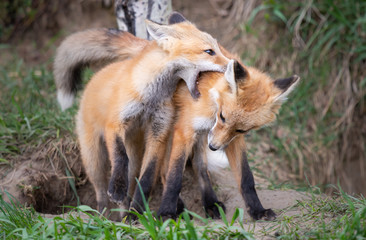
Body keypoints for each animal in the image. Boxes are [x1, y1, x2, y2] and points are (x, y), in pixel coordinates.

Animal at [53, 12, 230, 217]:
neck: (151, 96)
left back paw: (126, 215)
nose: (235, 66)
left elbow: (147, 178)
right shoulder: (115, 123)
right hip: (93, 158)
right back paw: (103, 215)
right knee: (100, 189)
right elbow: (120, 156)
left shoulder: (159, 131)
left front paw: (136, 212)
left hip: (138, 156)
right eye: (209, 51)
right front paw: (117, 187)